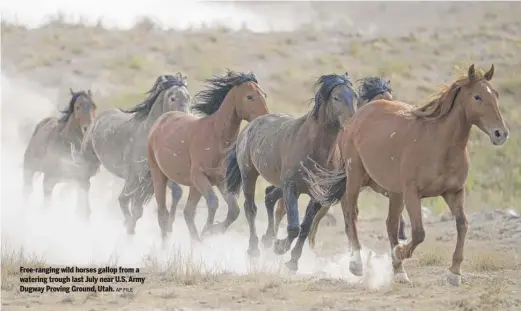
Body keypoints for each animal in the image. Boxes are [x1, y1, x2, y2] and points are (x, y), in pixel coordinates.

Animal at [22, 88, 97, 219]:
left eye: (93, 106)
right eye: (77, 107)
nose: (88, 128)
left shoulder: (83, 182)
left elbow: (83, 211)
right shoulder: (48, 180)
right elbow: (46, 207)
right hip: (29, 168)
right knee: (27, 191)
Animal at [82, 73, 192, 234]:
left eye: (189, 98)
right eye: (172, 98)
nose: (186, 123)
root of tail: (98, 118)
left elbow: (175, 195)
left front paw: (169, 226)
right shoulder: (135, 178)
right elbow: (128, 204)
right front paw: (129, 229)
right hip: (89, 161)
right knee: (83, 185)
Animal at [145, 72, 268, 243]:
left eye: (264, 94)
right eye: (249, 96)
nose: (266, 118)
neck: (215, 137)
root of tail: (162, 120)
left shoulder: (221, 181)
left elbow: (234, 210)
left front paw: (210, 232)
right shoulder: (200, 176)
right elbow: (213, 203)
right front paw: (207, 231)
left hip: (193, 186)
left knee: (188, 212)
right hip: (159, 175)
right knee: (163, 214)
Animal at [223, 73, 358, 272]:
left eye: (355, 96)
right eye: (336, 97)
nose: (351, 124)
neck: (314, 149)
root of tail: (251, 125)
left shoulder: (318, 194)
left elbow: (305, 227)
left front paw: (292, 262)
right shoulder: (291, 188)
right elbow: (294, 227)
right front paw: (280, 247)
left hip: (279, 184)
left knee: (269, 196)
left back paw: (268, 238)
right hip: (249, 175)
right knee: (250, 208)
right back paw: (254, 249)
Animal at [306, 64, 506, 286]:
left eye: (496, 95)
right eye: (477, 97)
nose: (500, 133)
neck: (439, 145)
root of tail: (358, 116)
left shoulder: (453, 192)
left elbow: (462, 225)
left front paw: (454, 273)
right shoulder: (412, 193)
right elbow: (419, 232)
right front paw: (400, 252)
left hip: (392, 192)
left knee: (389, 223)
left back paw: (399, 271)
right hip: (355, 175)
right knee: (351, 213)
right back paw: (357, 264)